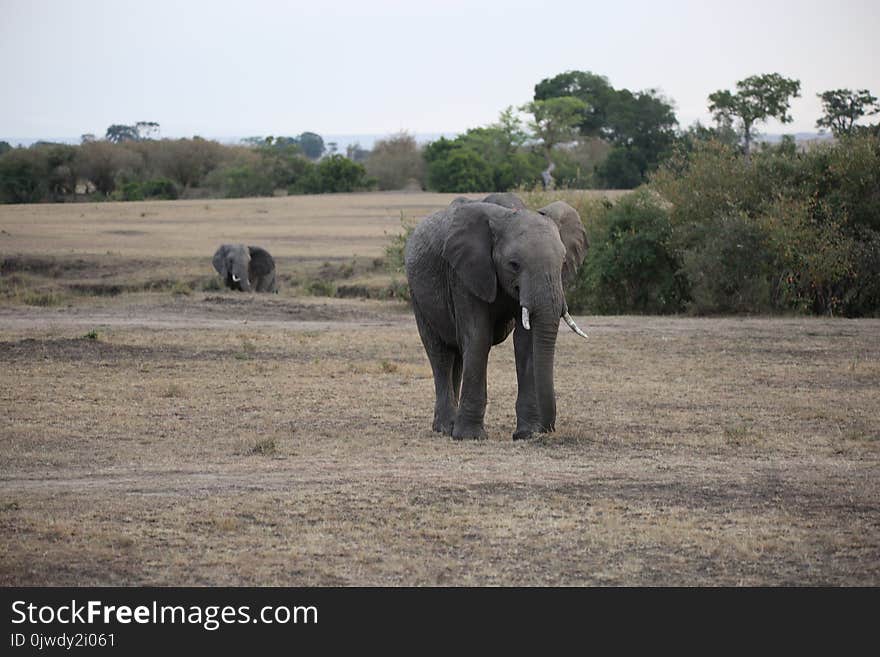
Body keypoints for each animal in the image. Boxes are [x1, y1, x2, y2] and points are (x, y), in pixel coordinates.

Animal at [408, 193, 592, 440]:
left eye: (563, 263)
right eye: (514, 265)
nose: (547, 429)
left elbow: (525, 342)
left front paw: (526, 434)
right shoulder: (465, 274)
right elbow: (478, 338)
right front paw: (469, 436)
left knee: (457, 354)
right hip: (417, 294)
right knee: (441, 354)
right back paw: (446, 428)